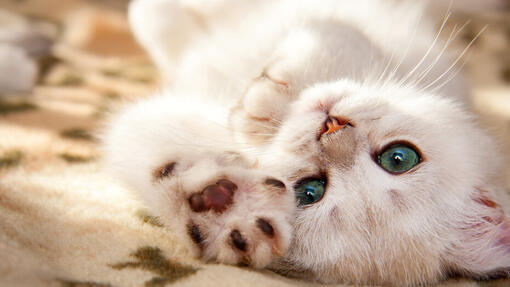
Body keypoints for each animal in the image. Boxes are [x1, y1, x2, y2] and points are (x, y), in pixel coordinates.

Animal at [102, 0, 510, 286]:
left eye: (309, 192)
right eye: (400, 157)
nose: (331, 128)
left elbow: (134, 134)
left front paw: (229, 212)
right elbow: (339, 33)